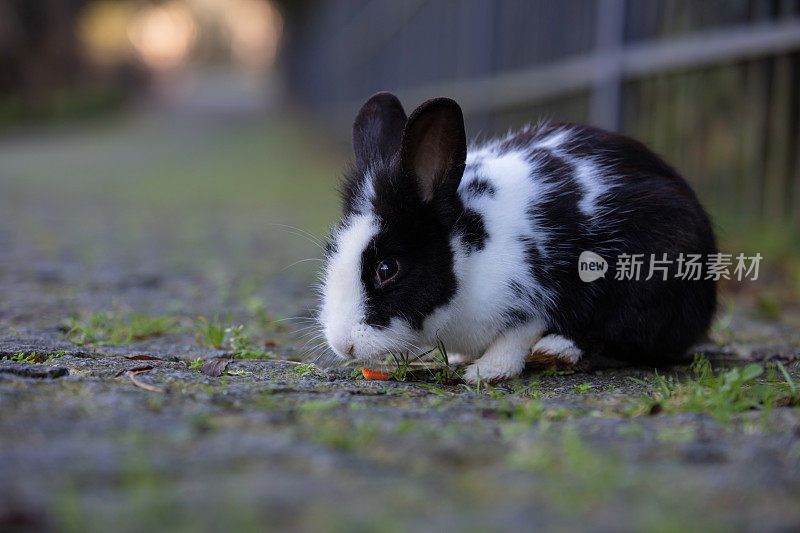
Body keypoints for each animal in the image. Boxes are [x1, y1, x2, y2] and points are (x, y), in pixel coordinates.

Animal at [318, 92, 720, 382]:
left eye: (387, 269)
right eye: (330, 250)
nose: (343, 345)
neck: (470, 254)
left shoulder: (537, 293)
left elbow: (518, 334)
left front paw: (485, 372)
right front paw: (467, 360)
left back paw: (557, 351)